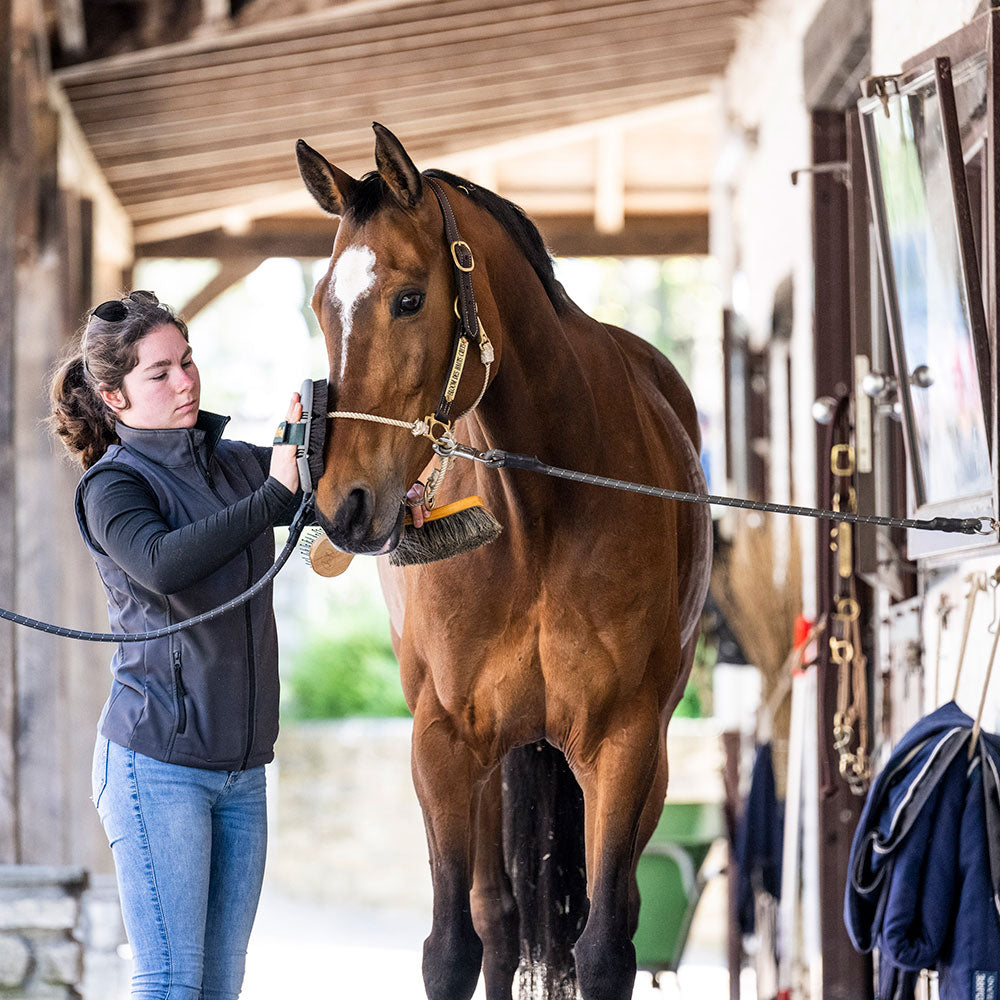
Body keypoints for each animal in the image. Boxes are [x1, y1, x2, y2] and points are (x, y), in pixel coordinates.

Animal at [295, 123, 712, 1000]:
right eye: (322, 304)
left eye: (409, 298)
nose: (341, 503)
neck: (540, 514)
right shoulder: (443, 744)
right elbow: (453, 946)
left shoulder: (625, 743)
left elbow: (604, 948)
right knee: (496, 920)